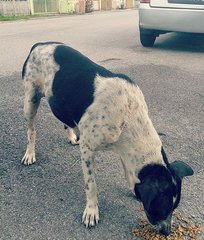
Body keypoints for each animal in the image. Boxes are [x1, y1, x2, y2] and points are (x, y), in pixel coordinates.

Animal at [21, 41, 194, 236]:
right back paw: (30, 153)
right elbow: (91, 184)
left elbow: (128, 172)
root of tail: (39, 44)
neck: (129, 116)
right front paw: (91, 211)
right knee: (31, 130)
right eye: (160, 209)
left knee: (65, 120)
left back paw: (72, 136)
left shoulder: (124, 150)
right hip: (30, 101)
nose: (167, 232)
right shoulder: (87, 150)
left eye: (174, 208)